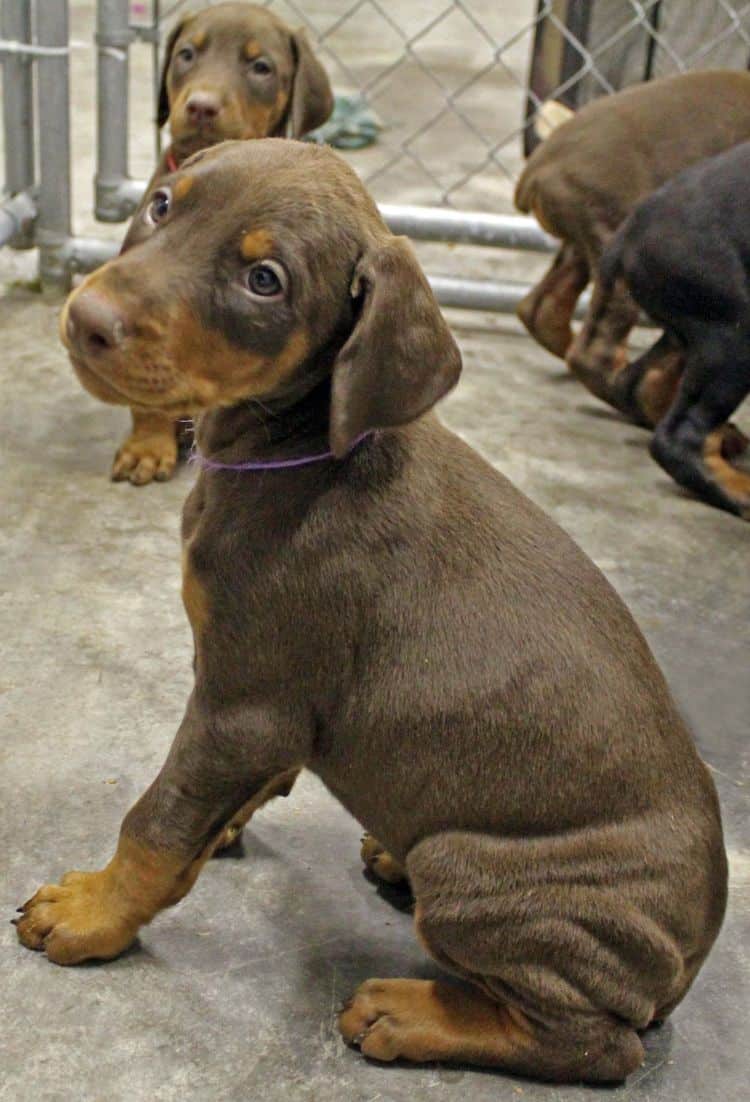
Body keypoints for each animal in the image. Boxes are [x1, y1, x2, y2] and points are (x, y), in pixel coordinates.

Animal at [585, 143, 748, 520]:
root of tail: (629, 233)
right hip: (735, 333)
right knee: (679, 438)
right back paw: (740, 493)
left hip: (692, 334)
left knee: (635, 383)